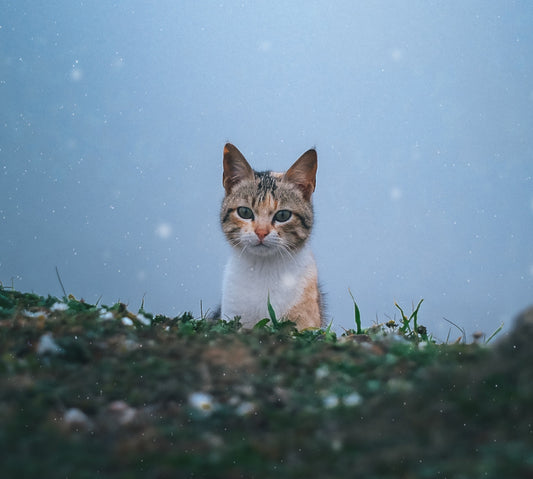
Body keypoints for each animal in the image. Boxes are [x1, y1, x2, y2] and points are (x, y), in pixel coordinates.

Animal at [218, 143, 322, 330]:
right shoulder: (232, 313)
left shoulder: (306, 320)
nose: (261, 232)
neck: (263, 268)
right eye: (245, 212)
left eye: (283, 215)